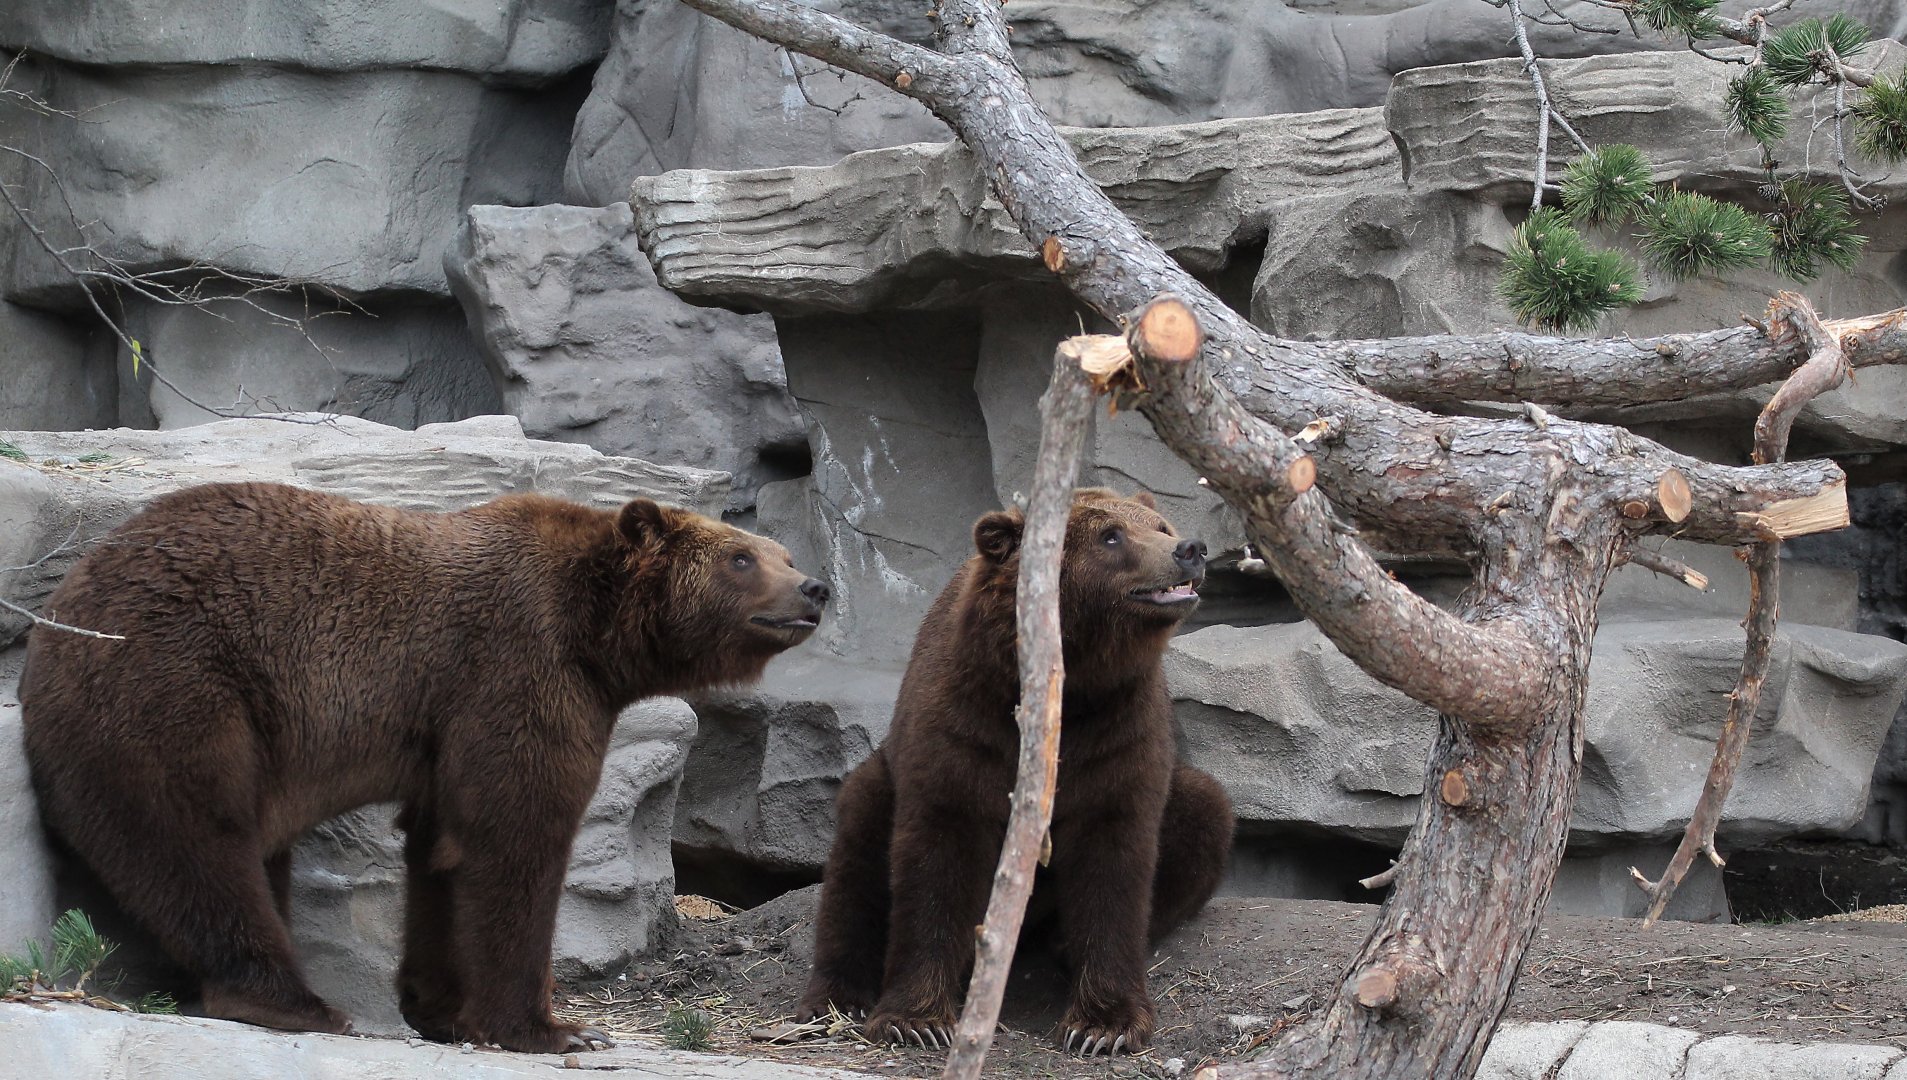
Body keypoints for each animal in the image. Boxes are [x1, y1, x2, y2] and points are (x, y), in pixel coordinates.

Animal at [20, 480, 829, 1054]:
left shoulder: (452, 724)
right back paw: (297, 1001)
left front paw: (439, 1008)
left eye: (783, 554)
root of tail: (55, 611)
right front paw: (555, 1027)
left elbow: (441, 846)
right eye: (740, 557)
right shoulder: (518, 663)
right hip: (175, 677)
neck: (599, 634)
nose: (815, 588)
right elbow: (516, 832)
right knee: (199, 836)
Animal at [796, 488, 1233, 1056]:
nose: (1190, 549)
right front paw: (916, 1019)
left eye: (1160, 526)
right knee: (857, 856)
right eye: (1111, 536)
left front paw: (1102, 1025)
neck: (1072, 678)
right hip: (881, 780)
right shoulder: (969, 721)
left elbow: (1114, 862)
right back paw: (836, 996)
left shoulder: (1117, 731)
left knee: (1205, 810)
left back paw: (1062, 943)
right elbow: (939, 858)